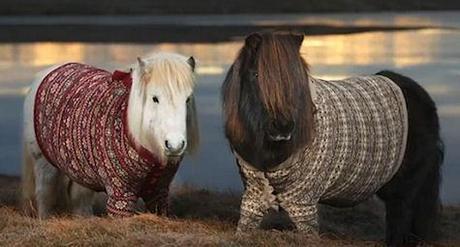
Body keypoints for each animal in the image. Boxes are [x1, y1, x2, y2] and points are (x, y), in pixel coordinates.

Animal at [21, 52, 199, 218]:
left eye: (187, 99)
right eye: (155, 98)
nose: (175, 145)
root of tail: (47, 72)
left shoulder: (159, 192)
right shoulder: (121, 194)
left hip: (81, 170)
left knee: (80, 200)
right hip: (43, 163)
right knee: (45, 194)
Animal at [221, 31, 444, 246]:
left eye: (295, 78)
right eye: (256, 75)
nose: (283, 126)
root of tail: (422, 95)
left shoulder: (304, 202)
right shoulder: (253, 194)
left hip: (405, 187)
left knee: (401, 219)